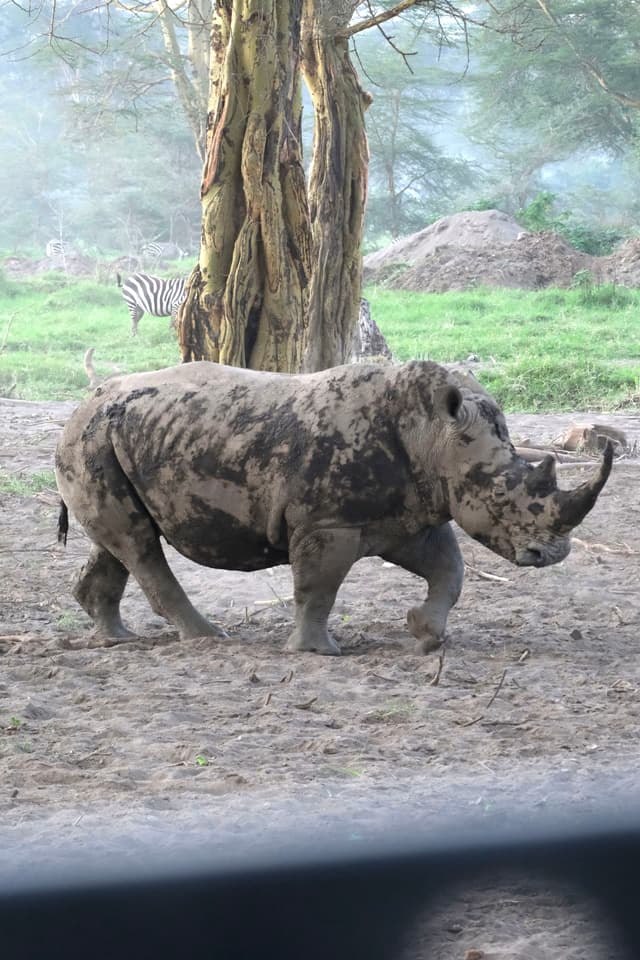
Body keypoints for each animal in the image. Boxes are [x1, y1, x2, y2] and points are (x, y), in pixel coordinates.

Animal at [55, 360, 612, 655]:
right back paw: (210, 638)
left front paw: (424, 634)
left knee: (122, 541)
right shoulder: (328, 522)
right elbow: (318, 587)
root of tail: (79, 407)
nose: (552, 555)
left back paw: (114, 639)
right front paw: (316, 652)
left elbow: (449, 571)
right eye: (499, 496)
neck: (436, 434)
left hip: (106, 439)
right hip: (91, 439)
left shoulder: (409, 514)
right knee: (139, 545)